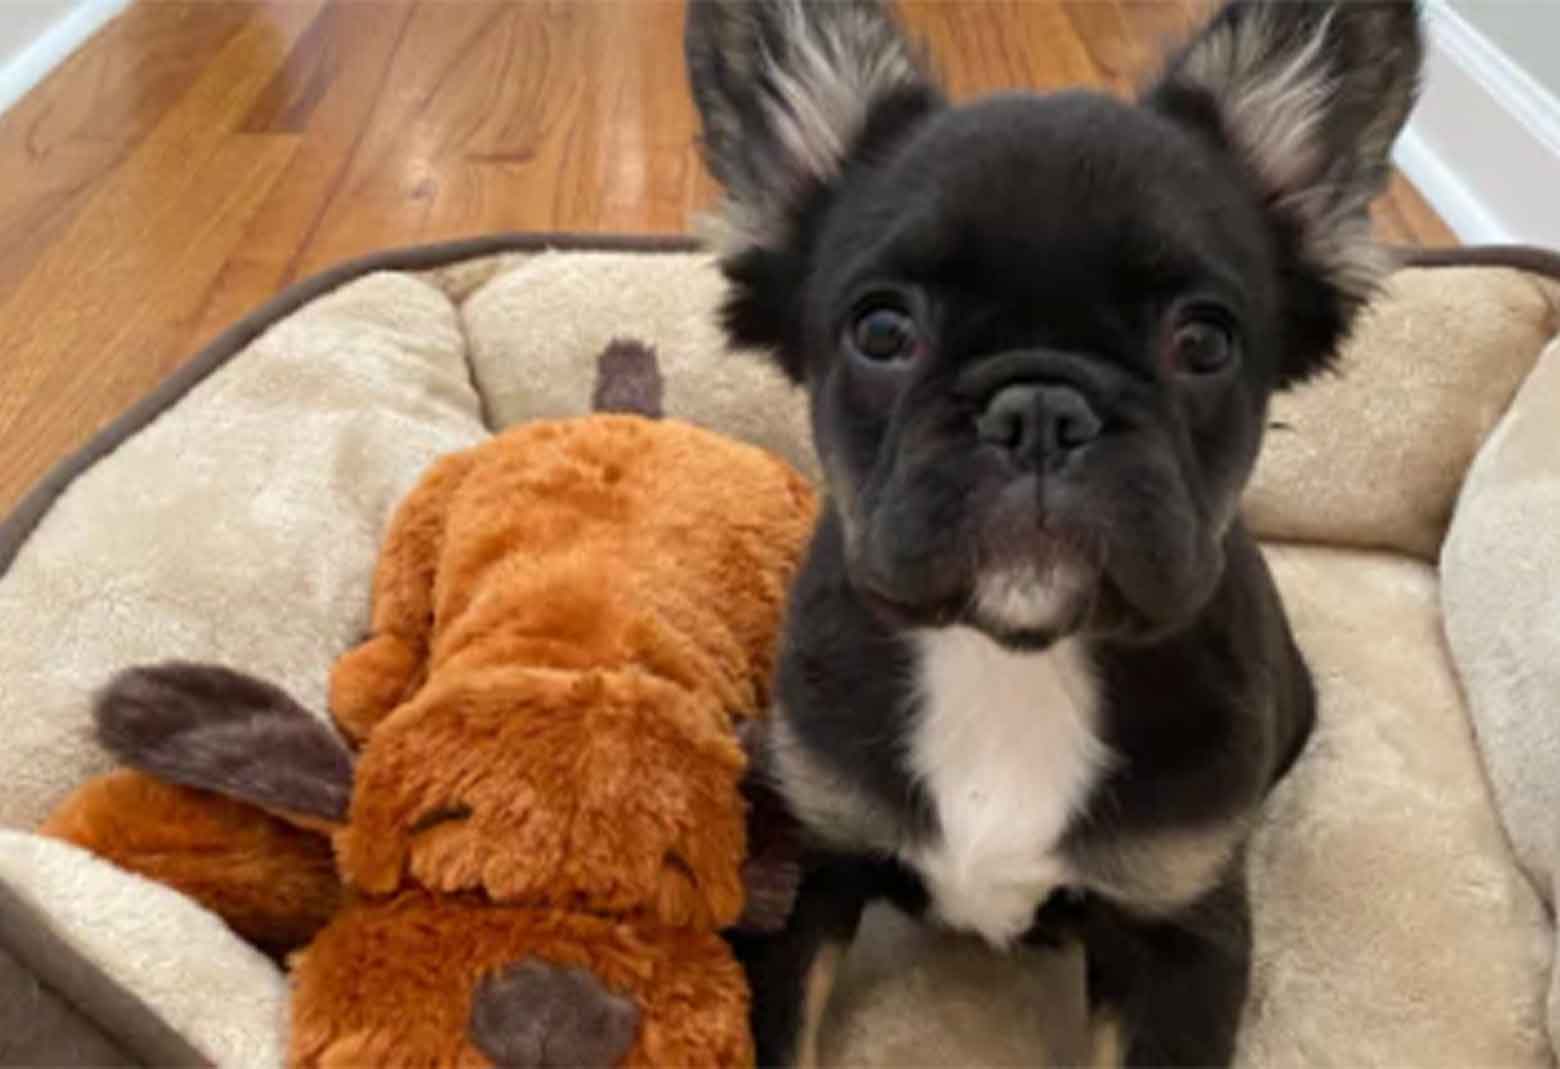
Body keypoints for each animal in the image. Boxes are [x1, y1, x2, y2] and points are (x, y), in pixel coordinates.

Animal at [689, 0, 1422, 1061]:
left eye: (1204, 341)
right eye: (881, 331)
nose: (1040, 408)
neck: (1014, 661)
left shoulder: (1179, 935)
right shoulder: (805, 863)